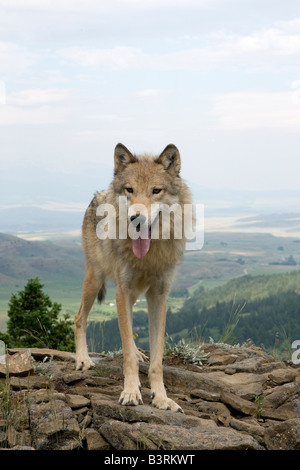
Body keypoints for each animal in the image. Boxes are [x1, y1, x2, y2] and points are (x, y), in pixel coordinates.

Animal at [74, 143, 192, 412]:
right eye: (130, 190)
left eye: (156, 191)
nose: (136, 218)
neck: (150, 254)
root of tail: (97, 195)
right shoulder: (123, 290)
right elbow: (127, 350)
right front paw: (130, 392)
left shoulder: (159, 296)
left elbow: (157, 358)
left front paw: (162, 398)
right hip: (95, 279)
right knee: (79, 318)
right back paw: (83, 360)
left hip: (135, 293)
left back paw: (139, 352)